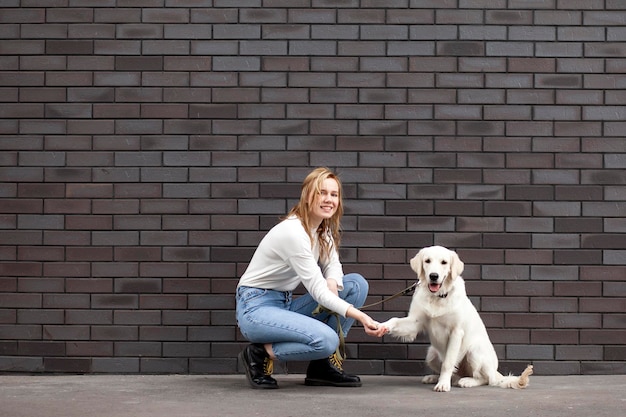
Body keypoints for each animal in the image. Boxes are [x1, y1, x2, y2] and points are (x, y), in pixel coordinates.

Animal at [378, 245, 528, 392]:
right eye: (427, 261)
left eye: (444, 262)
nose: (433, 276)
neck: (438, 296)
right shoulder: (415, 323)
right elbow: (394, 320)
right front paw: (381, 326)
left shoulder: (456, 332)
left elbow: (448, 363)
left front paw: (443, 384)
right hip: (431, 354)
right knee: (455, 375)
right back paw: (434, 377)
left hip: (475, 351)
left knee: (486, 379)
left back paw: (467, 381)